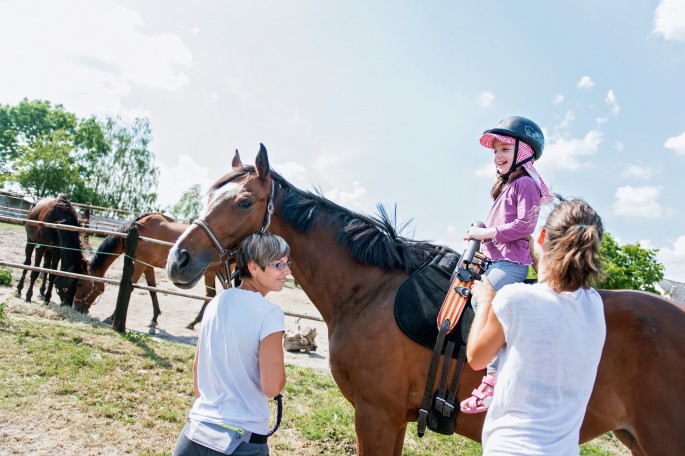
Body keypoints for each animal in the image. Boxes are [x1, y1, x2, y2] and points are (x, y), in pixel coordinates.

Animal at [75, 212, 224, 330]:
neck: (139, 230)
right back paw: (194, 322)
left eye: (80, 284)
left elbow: (131, 286)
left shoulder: (139, 263)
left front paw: (111, 318)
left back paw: (193, 323)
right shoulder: (147, 266)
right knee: (211, 295)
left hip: (212, 272)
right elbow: (152, 290)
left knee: (211, 294)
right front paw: (154, 319)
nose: (77, 308)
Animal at [166, 147, 684, 456]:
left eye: (243, 202)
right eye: (211, 194)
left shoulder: (375, 415)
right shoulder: (388, 418)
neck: (370, 291)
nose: (179, 259)